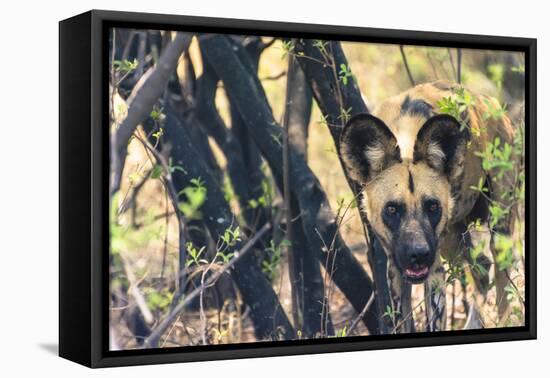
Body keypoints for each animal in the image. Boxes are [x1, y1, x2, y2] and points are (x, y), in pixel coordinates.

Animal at [340, 81, 516, 332]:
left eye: (432, 207)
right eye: (392, 209)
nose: (419, 254)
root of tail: (492, 103)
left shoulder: (433, 272)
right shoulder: (396, 268)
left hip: (497, 230)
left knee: (501, 280)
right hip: (453, 241)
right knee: (482, 269)